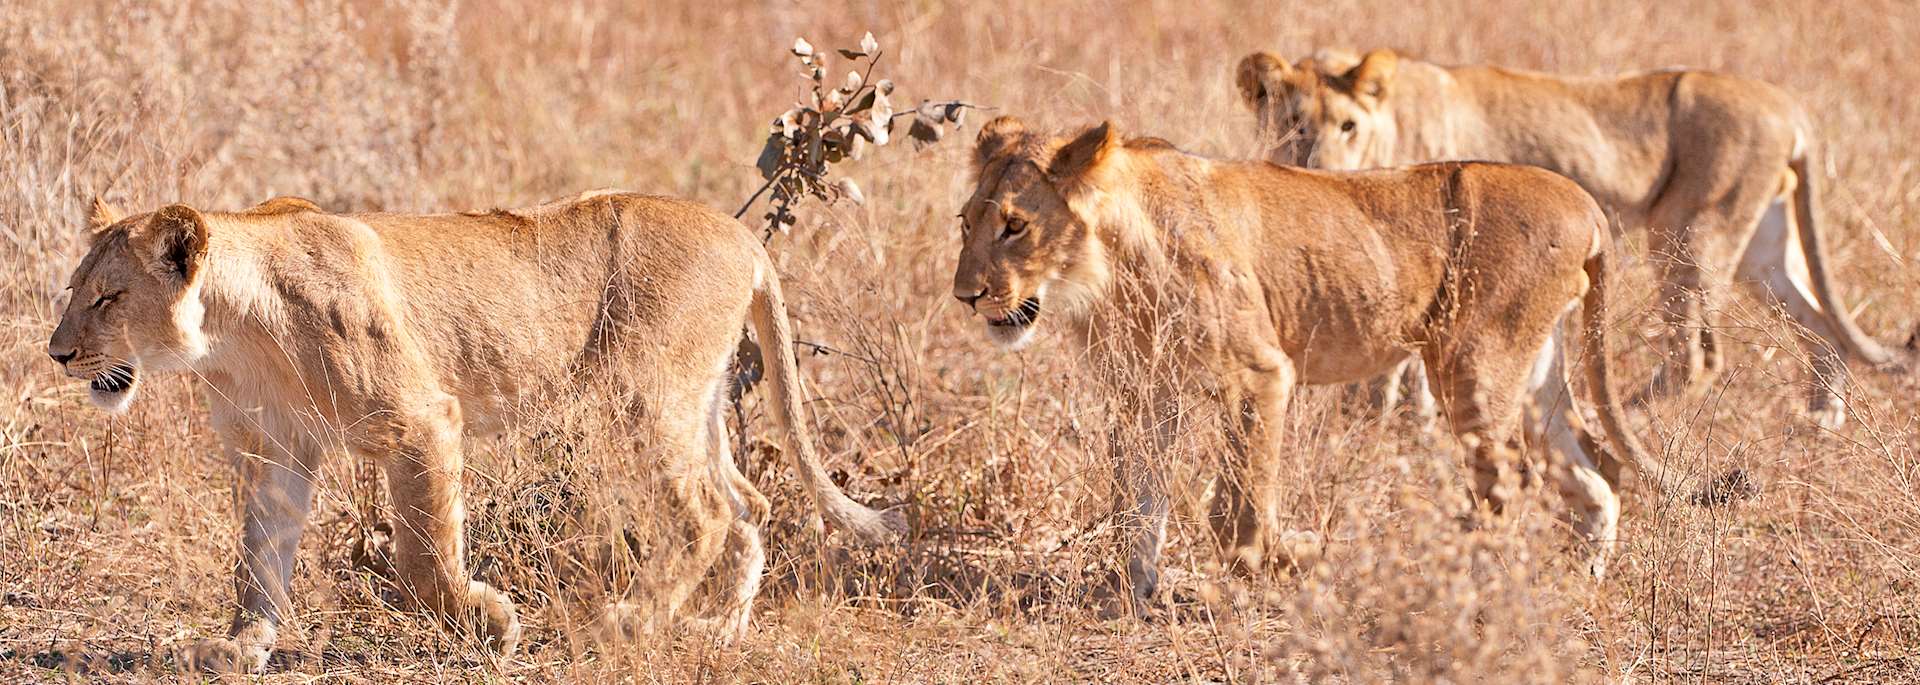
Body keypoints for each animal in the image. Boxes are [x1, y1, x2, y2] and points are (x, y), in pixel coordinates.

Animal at [47, 191, 905, 673]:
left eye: (109, 297)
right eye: (73, 291)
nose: (58, 352)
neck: (234, 331)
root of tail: (745, 237)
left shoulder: (421, 418)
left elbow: (423, 558)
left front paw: (490, 620)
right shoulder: (274, 450)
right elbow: (257, 560)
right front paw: (240, 645)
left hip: (642, 396)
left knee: (704, 512)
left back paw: (629, 621)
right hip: (697, 403)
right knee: (751, 504)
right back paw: (719, 630)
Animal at [950, 116, 1734, 609]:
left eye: (1015, 225)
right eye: (966, 222)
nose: (966, 295)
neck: (1107, 267)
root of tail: (1584, 202)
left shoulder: (1262, 372)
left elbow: (1238, 510)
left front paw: (1291, 560)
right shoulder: (1144, 391)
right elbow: (1135, 504)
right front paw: (1133, 593)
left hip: (1474, 365)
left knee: (1513, 486)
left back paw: (1475, 590)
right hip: (1534, 371)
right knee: (1594, 473)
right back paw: (1575, 583)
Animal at [1235, 49, 1910, 429]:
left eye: (1347, 125)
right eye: (1294, 124)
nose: (1321, 164)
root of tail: (1789, 105)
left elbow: (1399, 366)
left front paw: (1395, 425)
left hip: (1689, 231)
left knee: (1697, 354)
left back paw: (1626, 414)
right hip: (1762, 249)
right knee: (1820, 321)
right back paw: (1821, 419)